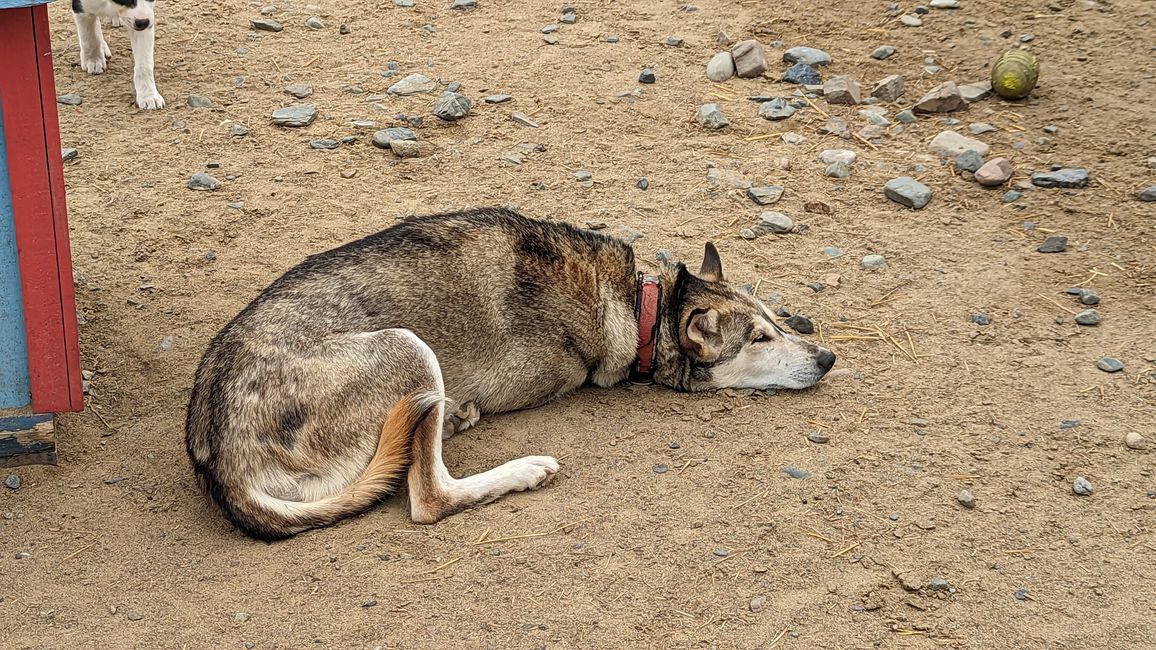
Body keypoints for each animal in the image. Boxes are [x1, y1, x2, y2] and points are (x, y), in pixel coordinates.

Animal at [191, 207, 841, 536]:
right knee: (430, 498)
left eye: (776, 319)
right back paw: (522, 468)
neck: (637, 303)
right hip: (410, 349)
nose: (827, 357)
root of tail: (218, 458)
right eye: (758, 339)